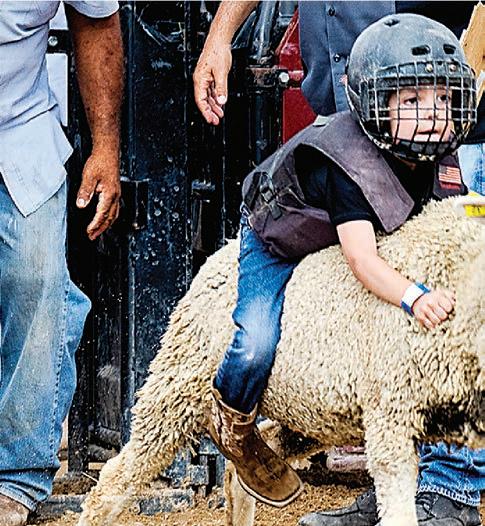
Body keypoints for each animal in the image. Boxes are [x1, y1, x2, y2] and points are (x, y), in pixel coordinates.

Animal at [77, 197, 485, 526]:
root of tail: (219, 252)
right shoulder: (393, 414)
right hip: (178, 384)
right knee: (117, 477)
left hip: (318, 412)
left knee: (251, 459)